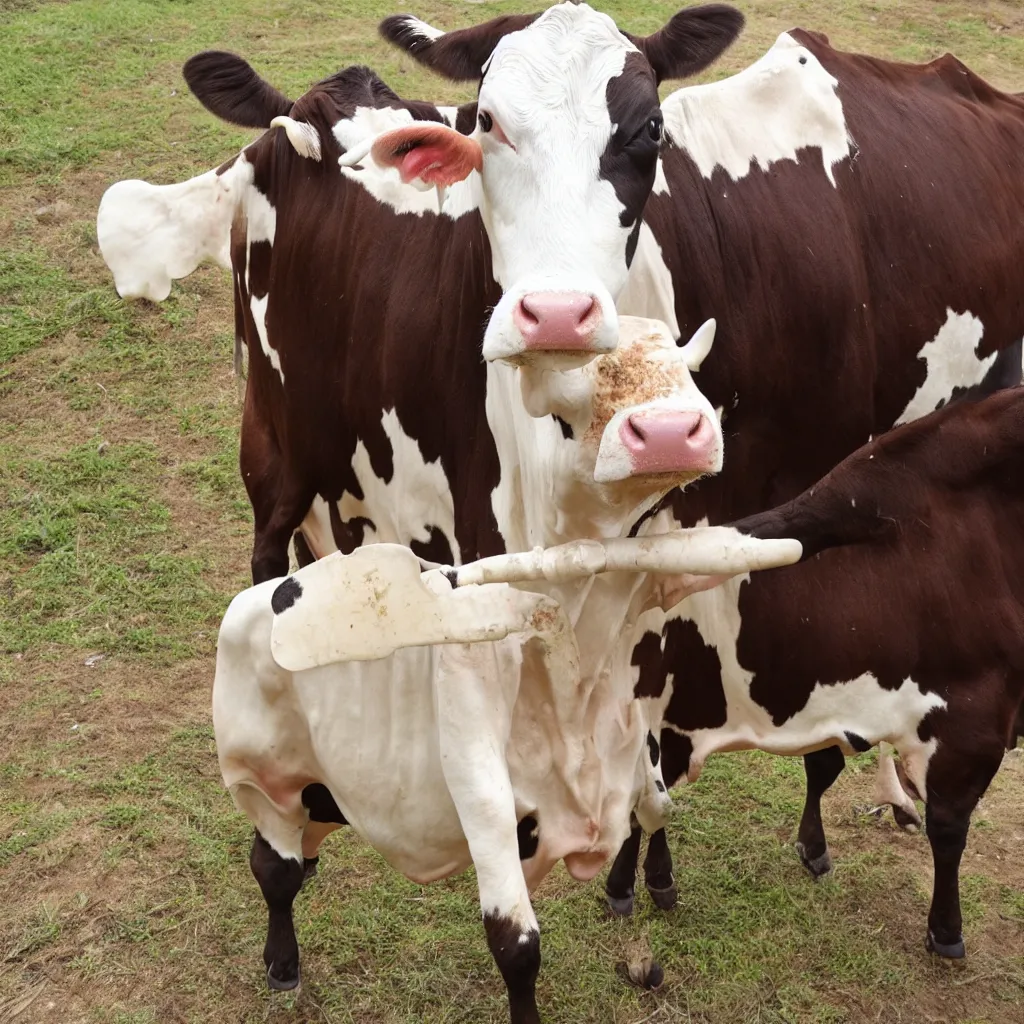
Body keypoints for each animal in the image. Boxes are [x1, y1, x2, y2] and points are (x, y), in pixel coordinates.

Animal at [606, 387, 1024, 962]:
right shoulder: (970, 725)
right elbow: (948, 829)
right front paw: (946, 930)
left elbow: (826, 768)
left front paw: (814, 847)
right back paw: (629, 883)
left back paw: (651, 879)